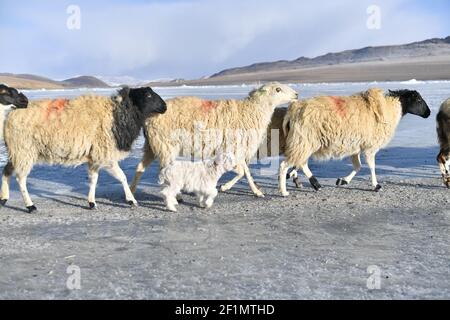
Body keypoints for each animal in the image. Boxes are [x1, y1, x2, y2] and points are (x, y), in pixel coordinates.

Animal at [0, 87, 167, 212]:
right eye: (148, 95)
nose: (165, 106)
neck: (117, 114)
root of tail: (9, 117)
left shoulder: (95, 156)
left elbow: (93, 179)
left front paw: (91, 202)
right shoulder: (105, 154)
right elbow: (122, 177)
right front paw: (131, 200)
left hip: (17, 151)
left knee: (7, 171)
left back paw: (4, 198)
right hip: (24, 151)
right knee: (20, 178)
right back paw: (30, 205)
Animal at [130, 82, 298, 198]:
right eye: (278, 89)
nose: (296, 94)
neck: (252, 111)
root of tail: (148, 118)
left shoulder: (238, 148)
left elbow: (246, 172)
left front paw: (256, 192)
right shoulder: (232, 147)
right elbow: (241, 172)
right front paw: (224, 187)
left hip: (152, 146)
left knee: (139, 168)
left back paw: (131, 194)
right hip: (166, 146)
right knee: (163, 171)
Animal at [280, 89, 430, 196]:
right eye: (418, 99)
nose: (428, 113)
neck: (390, 108)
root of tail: (294, 110)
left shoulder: (356, 147)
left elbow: (358, 166)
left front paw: (343, 181)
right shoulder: (370, 146)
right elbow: (371, 166)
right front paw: (376, 186)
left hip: (305, 141)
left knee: (300, 162)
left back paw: (311, 183)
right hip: (305, 140)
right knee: (286, 164)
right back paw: (285, 190)